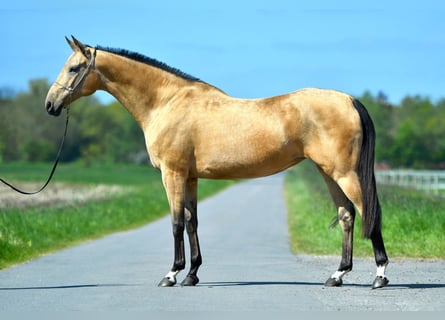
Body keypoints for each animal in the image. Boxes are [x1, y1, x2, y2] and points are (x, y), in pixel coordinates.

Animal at [43, 36, 386, 288]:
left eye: (74, 68)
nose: (50, 105)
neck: (166, 102)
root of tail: (349, 100)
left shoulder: (172, 174)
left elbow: (175, 223)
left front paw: (172, 275)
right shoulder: (191, 177)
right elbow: (192, 222)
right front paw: (192, 275)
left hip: (345, 174)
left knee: (370, 212)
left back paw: (380, 276)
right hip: (329, 173)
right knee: (346, 215)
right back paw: (337, 275)